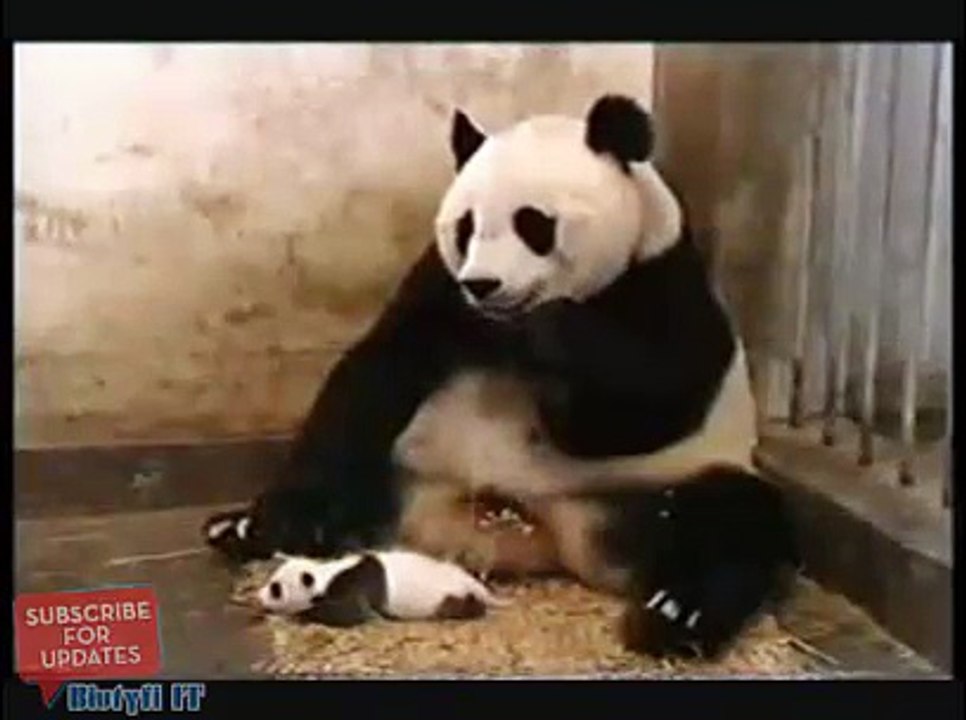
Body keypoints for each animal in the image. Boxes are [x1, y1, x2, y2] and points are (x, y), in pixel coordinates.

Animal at [204, 94, 798, 659]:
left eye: (533, 222)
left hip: (646, 489)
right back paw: (246, 529)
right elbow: (377, 371)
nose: (484, 284)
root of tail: (531, 535)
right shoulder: (439, 287)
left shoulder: (664, 281)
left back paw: (674, 614)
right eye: (466, 226)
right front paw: (277, 518)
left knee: (730, 518)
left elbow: (641, 409)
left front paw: (557, 332)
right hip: (409, 468)